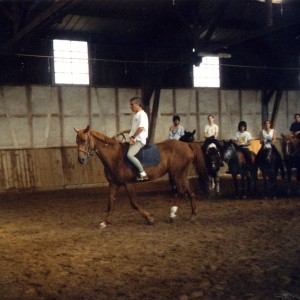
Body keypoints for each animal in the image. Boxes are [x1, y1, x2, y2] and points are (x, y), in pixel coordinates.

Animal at [74, 125, 207, 226]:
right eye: (76, 141)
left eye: (84, 140)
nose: (81, 159)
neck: (114, 157)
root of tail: (186, 145)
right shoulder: (113, 183)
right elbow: (110, 202)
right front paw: (105, 222)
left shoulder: (128, 183)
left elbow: (133, 203)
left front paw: (150, 218)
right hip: (182, 174)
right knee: (190, 192)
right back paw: (193, 215)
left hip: (176, 174)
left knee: (181, 191)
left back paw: (172, 214)